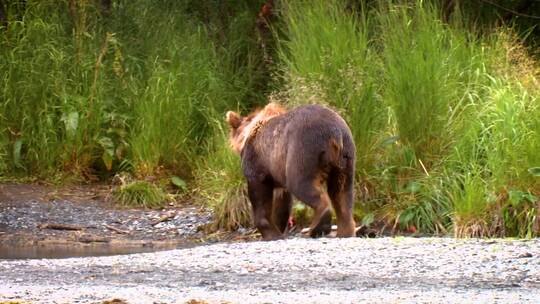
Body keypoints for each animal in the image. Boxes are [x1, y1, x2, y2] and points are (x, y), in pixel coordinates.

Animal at [226, 103, 356, 241]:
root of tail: (334, 133)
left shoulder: (258, 164)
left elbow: (259, 196)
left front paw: (271, 234)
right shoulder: (277, 173)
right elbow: (282, 203)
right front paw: (279, 228)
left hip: (302, 150)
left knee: (301, 185)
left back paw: (318, 225)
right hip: (345, 159)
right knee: (342, 193)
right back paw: (345, 232)